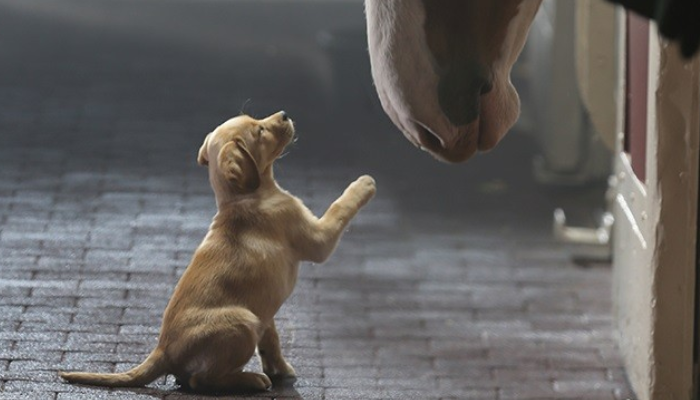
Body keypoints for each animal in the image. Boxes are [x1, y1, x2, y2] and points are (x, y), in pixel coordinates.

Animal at [60, 111, 378, 392]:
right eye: (260, 131)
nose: (285, 114)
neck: (243, 197)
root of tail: (163, 350)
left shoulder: (265, 312)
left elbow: (271, 341)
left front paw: (281, 369)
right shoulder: (317, 239)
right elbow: (340, 207)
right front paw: (363, 183)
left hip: (252, 318)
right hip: (243, 321)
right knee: (200, 380)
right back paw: (251, 380)